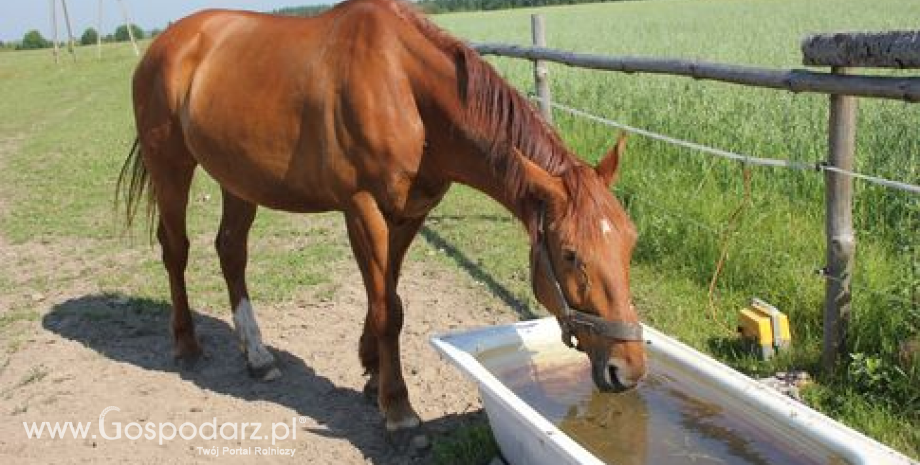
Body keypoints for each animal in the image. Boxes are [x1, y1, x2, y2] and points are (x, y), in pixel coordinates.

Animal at [117, 0, 648, 438]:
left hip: (239, 179)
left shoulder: (409, 214)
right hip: (171, 166)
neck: (403, 87)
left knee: (230, 251)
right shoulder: (363, 208)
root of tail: (169, 42)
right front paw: (398, 410)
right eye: (571, 254)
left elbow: (386, 297)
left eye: (629, 242)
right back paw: (186, 344)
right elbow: (388, 309)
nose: (629, 368)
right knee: (176, 250)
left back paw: (258, 355)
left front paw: (372, 372)